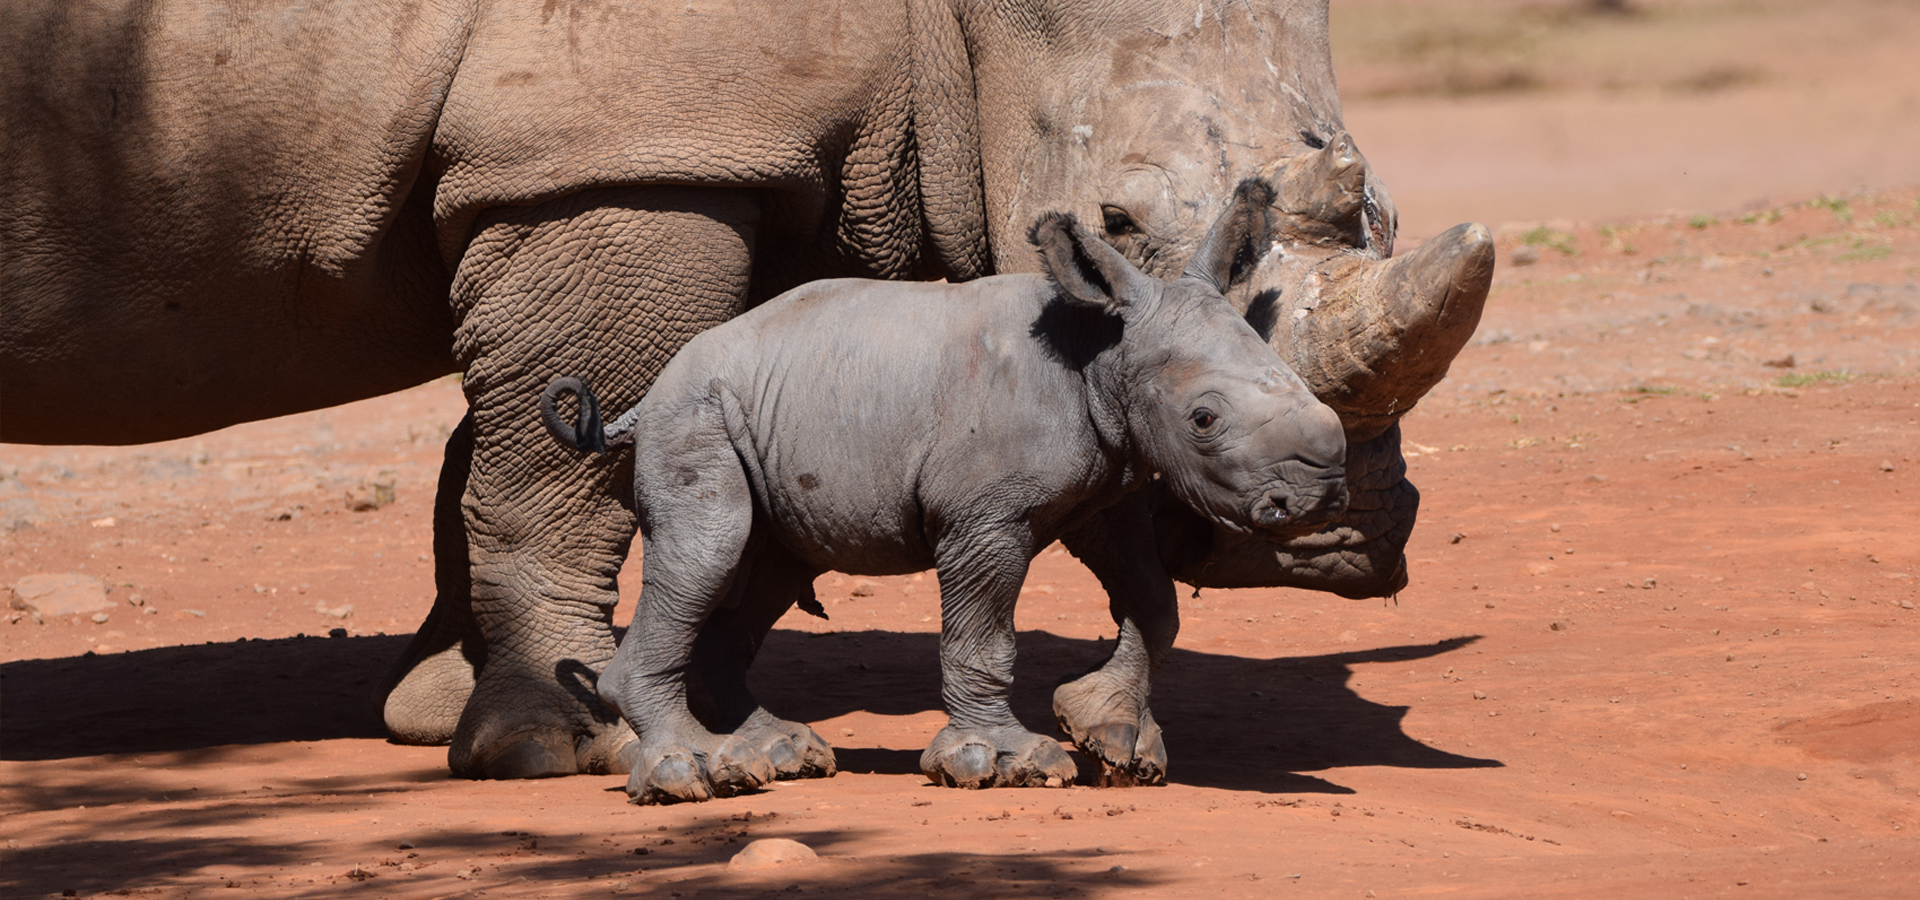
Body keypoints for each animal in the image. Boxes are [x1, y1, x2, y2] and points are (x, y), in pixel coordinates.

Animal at [545, 183, 1347, 801]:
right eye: (1204, 419)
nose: (1320, 497)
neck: (1102, 350)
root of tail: (650, 393)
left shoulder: (1107, 482)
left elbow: (1154, 600)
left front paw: (1115, 740)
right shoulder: (984, 516)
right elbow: (983, 635)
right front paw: (1003, 763)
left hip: (758, 412)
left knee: (766, 564)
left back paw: (774, 757)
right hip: (694, 414)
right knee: (710, 546)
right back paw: (689, 774)